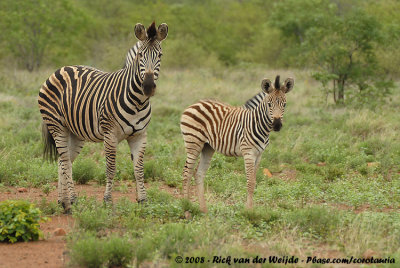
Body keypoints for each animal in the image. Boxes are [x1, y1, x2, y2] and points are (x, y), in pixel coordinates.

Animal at [38, 22, 168, 213]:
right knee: (66, 162)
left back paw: (63, 201)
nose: (148, 87)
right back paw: (72, 202)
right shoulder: (110, 135)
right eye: (140, 55)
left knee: (63, 161)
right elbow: (111, 168)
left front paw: (143, 201)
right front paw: (107, 200)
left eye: (160, 55)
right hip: (56, 125)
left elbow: (139, 169)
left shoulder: (140, 135)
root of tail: (61, 68)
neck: (138, 101)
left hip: (75, 132)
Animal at [181, 75, 294, 211]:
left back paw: (204, 210)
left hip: (207, 147)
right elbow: (250, 182)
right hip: (193, 142)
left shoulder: (259, 155)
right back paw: (186, 206)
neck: (258, 124)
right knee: (186, 173)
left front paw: (250, 209)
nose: (277, 125)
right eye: (269, 104)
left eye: (285, 105)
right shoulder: (248, 153)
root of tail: (195, 103)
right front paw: (248, 211)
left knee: (199, 173)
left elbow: (254, 181)